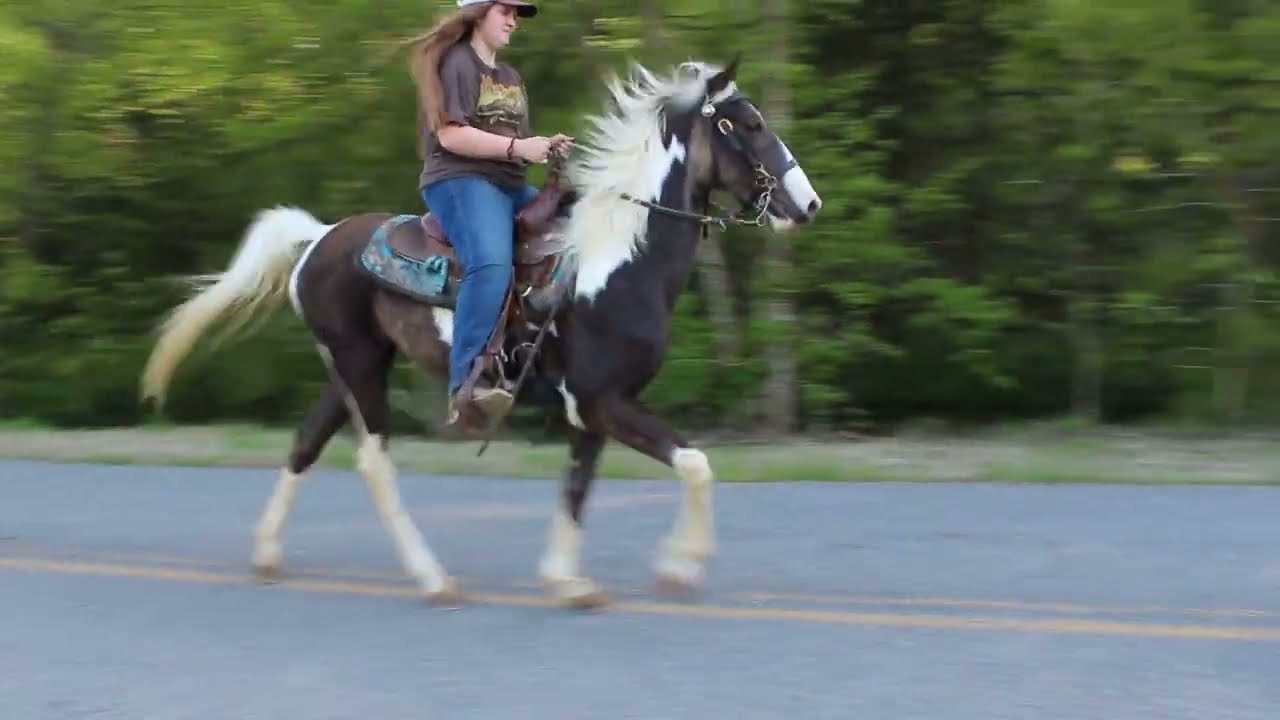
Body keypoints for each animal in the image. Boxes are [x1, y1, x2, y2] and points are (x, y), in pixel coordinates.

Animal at [139, 56, 821, 610]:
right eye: (748, 124)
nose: (808, 204)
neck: (618, 258)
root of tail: (318, 238)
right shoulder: (602, 399)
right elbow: (695, 464)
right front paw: (680, 567)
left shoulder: (590, 408)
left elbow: (579, 486)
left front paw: (566, 581)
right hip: (359, 369)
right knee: (373, 462)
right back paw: (433, 579)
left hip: (353, 369)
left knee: (306, 444)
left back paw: (266, 554)